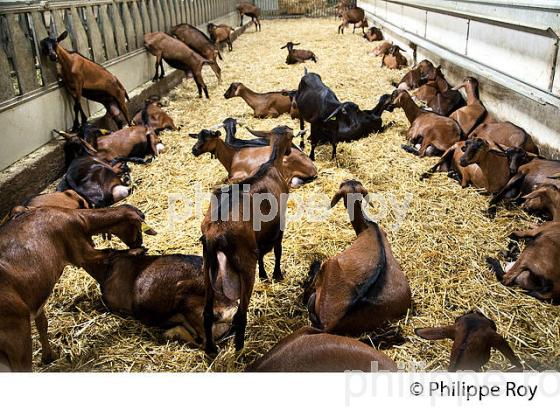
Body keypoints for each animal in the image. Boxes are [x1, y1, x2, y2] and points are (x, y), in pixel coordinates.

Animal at [0, 207, 153, 370]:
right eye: (137, 225)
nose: (140, 242)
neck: (81, 219)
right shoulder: (81, 251)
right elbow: (109, 251)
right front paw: (139, 251)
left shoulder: (35, 300)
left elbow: (42, 324)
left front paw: (48, 357)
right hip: (17, 332)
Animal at [201, 126, 294, 354]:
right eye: (292, 137)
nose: (289, 151)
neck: (272, 164)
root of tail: (214, 234)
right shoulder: (281, 221)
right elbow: (277, 249)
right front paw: (277, 274)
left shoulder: (258, 236)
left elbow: (262, 252)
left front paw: (265, 274)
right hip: (243, 265)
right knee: (241, 314)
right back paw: (240, 349)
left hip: (207, 267)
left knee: (207, 313)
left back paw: (211, 349)